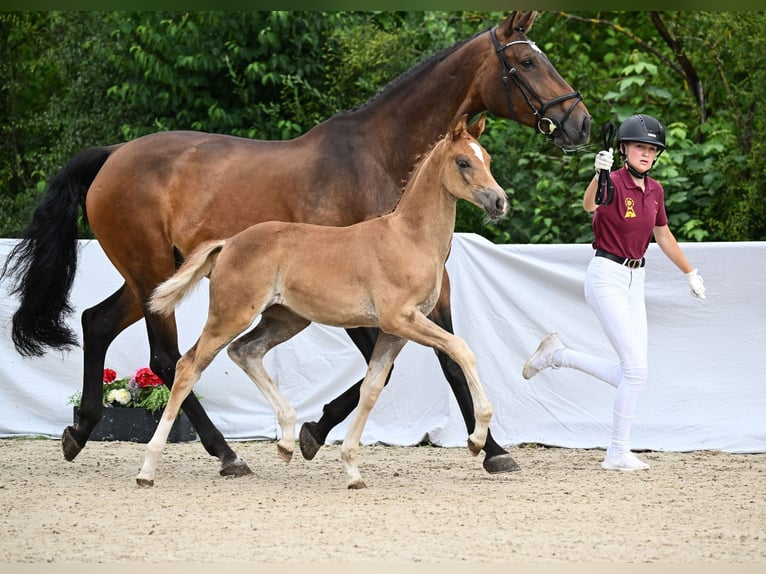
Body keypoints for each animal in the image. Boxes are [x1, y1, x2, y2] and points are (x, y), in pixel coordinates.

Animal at [140, 113, 510, 490]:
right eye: (462, 162)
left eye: (487, 159)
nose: (499, 202)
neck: (408, 238)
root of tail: (228, 243)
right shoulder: (401, 319)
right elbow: (462, 350)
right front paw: (477, 440)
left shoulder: (395, 332)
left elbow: (371, 388)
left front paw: (352, 471)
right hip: (231, 315)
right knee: (189, 366)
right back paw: (150, 470)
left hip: (286, 319)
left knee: (245, 351)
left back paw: (287, 441)